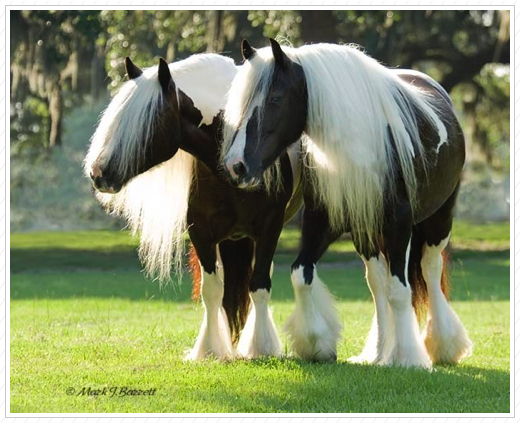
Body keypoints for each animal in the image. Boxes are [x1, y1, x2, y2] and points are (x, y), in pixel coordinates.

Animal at [83, 53, 302, 362]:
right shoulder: (201, 233)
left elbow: (259, 285)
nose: (97, 174)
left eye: (147, 120)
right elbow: (212, 291)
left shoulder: (269, 229)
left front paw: (261, 348)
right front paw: (210, 349)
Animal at [221, 39, 474, 370]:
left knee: (429, 270)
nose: (236, 165)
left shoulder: (400, 222)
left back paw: (442, 345)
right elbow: (301, 275)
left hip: (439, 220)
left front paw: (408, 357)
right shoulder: (324, 221)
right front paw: (316, 344)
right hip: (366, 232)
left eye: (275, 98)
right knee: (377, 281)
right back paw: (377, 352)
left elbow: (400, 289)